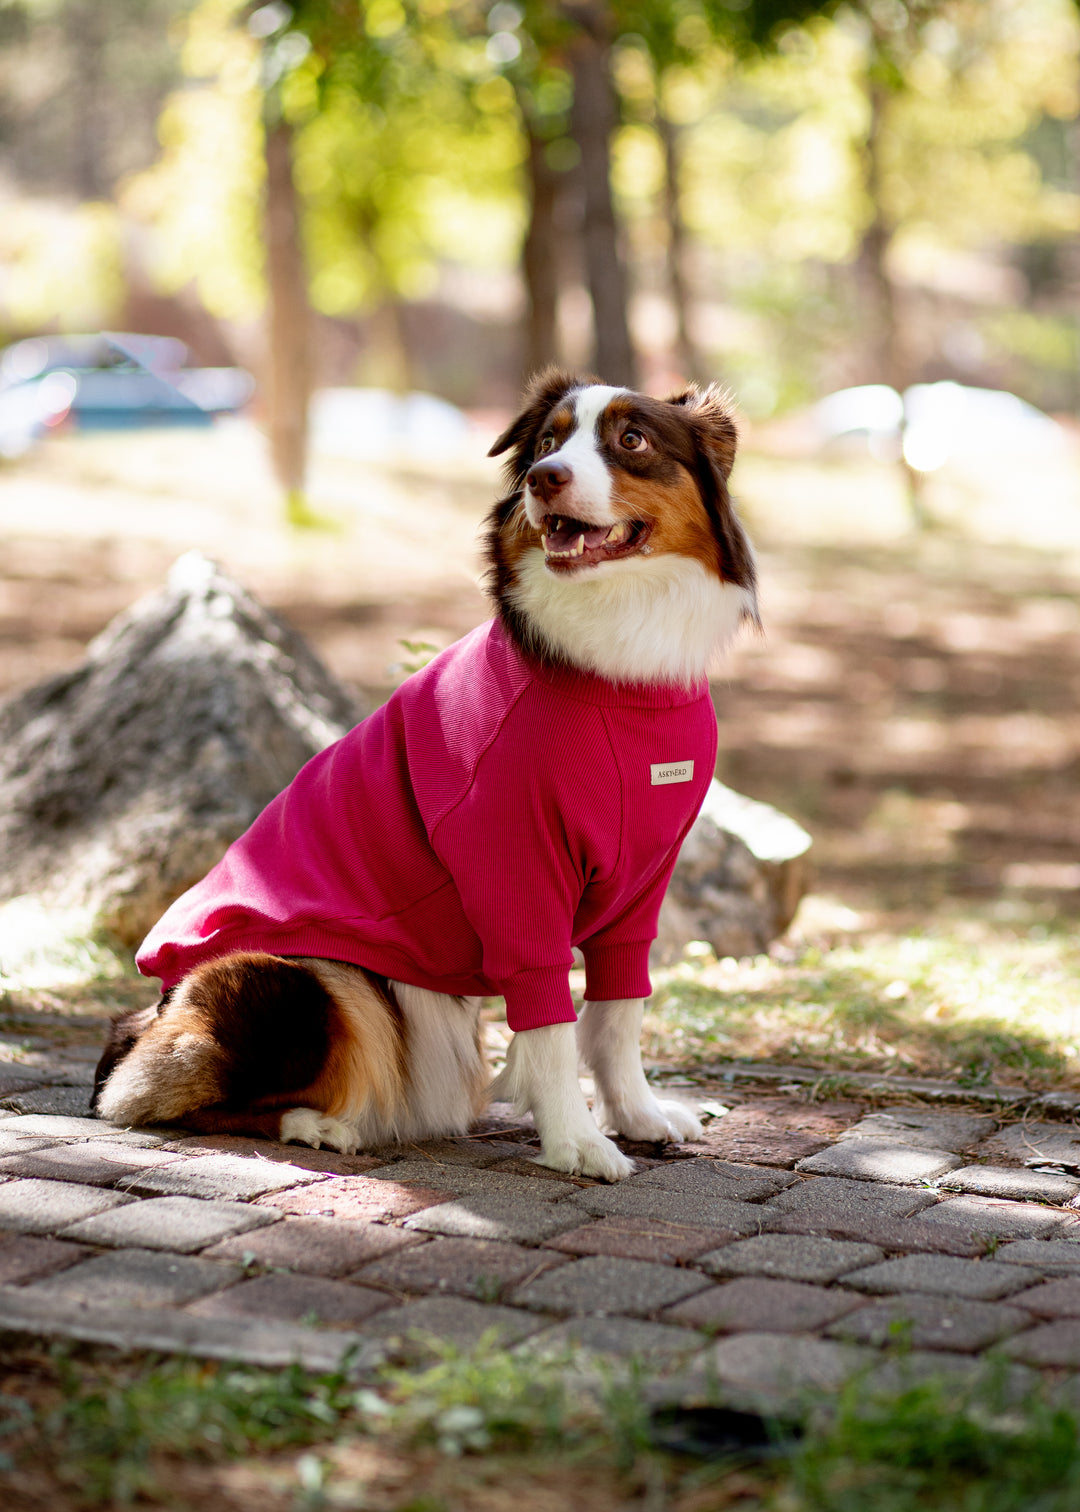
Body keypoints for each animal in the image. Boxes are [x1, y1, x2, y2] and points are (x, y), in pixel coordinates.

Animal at [92, 365, 753, 1179]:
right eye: (547, 441)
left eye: (632, 440)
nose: (545, 477)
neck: (612, 671)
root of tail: (144, 1013)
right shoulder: (516, 873)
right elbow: (552, 1025)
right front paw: (575, 1142)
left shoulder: (640, 885)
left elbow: (618, 1013)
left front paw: (636, 1114)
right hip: (297, 977)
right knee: (155, 1093)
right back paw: (316, 1126)